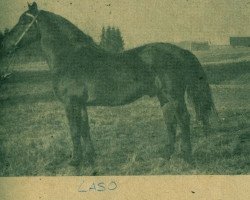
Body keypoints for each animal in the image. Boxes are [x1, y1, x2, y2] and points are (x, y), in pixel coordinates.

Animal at [1, 2, 215, 166]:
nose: (5, 45)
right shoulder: (80, 103)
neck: (70, 57)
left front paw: (75, 162)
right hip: (164, 97)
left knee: (184, 120)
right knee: (171, 122)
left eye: (24, 21)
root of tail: (181, 51)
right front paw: (90, 159)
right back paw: (165, 157)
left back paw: (187, 158)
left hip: (174, 95)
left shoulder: (70, 103)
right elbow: (85, 128)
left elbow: (74, 130)